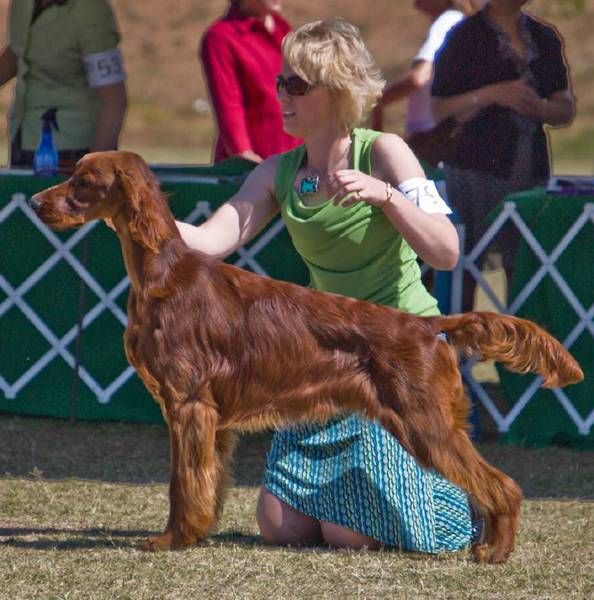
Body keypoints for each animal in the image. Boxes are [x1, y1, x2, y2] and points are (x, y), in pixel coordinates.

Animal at [30, 152, 580, 564]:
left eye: (84, 180)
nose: (35, 202)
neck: (162, 274)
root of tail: (429, 328)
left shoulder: (188, 404)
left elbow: (181, 484)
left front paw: (171, 540)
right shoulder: (209, 418)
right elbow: (204, 483)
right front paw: (195, 534)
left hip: (427, 424)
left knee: (503, 486)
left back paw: (494, 552)